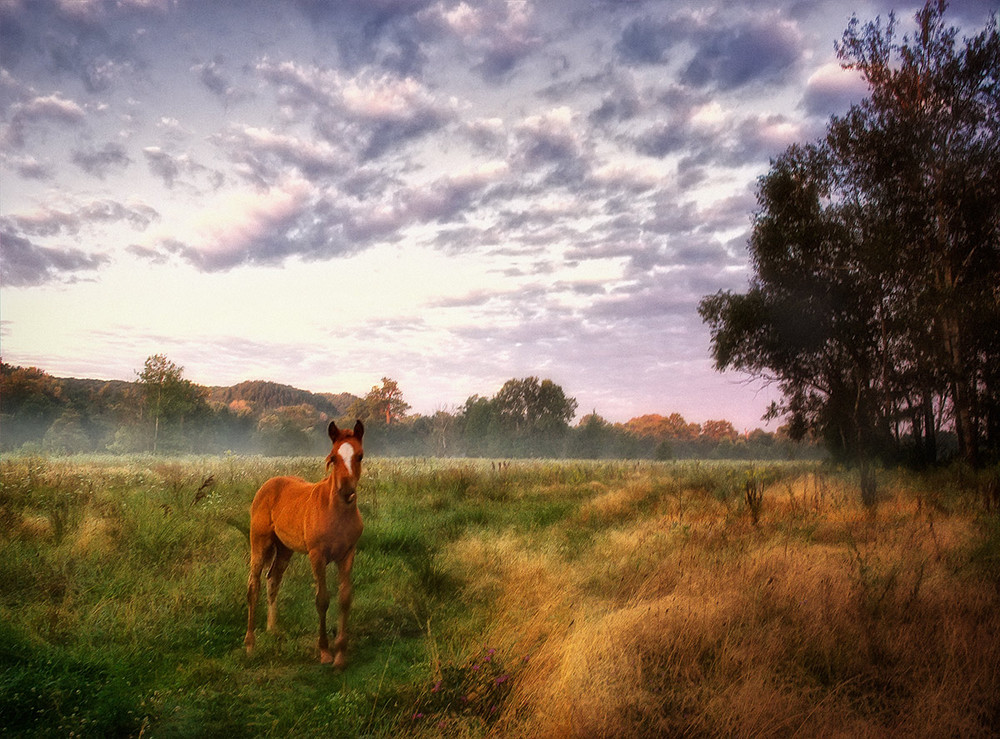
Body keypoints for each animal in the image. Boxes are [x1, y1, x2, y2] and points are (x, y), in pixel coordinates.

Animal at [244, 420, 366, 668]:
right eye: (333, 457)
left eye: (359, 456)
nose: (346, 491)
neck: (335, 512)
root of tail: (269, 483)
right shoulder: (316, 555)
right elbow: (322, 599)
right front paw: (325, 652)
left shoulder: (348, 554)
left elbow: (345, 598)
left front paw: (340, 654)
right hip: (259, 542)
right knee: (254, 586)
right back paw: (250, 645)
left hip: (284, 549)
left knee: (273, 579)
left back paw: (273, 629)